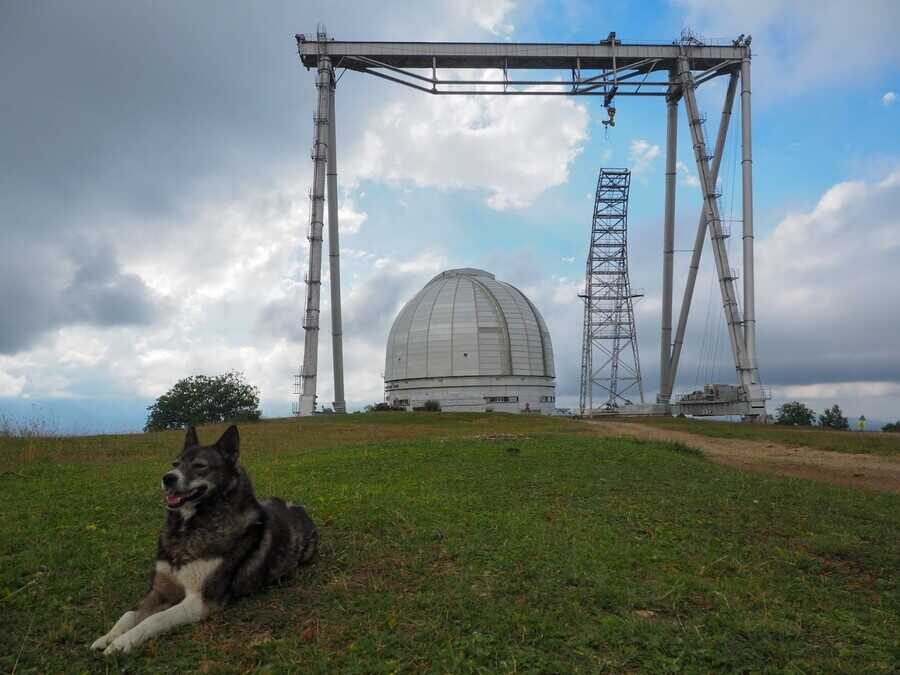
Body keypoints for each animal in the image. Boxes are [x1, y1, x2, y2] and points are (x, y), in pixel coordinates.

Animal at [91, 422, 316, 656]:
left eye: (200, 465)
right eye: (175, 463)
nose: (167, 477)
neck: (188, 529)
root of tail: (297, 506)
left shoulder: (200, 601)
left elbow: (154, 619)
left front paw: (121, 643)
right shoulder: (161, 589)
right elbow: (129, 614)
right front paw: (107, 637)